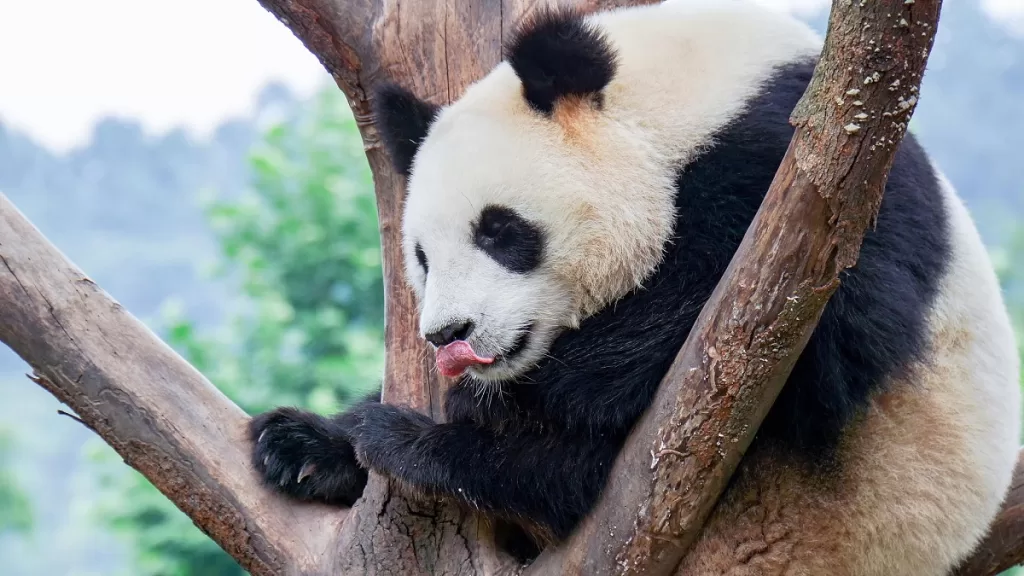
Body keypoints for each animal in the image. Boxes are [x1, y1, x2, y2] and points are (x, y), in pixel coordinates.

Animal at [248, 1, 1022, 573]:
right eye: (422, 257)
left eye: (499, 231)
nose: (447, 335)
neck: (674, 101)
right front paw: (310, 444)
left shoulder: (811, 172)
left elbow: (831, 323)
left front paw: (520, 395)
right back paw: (308, 447)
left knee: (570, 476)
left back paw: (414, 442)